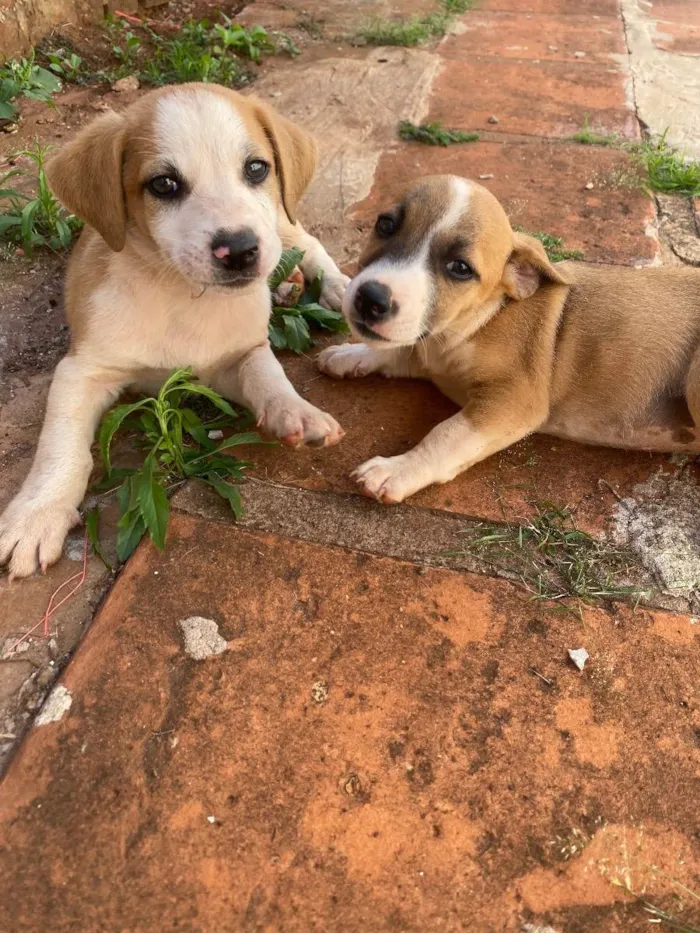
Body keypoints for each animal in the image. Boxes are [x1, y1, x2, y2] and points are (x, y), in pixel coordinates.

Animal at [0, 82, 350, 576]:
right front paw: (36, 515)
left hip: (281, 220)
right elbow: (60, 446)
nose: (239, 250)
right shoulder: (82, 369)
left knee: (306, 241)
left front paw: (296, 411)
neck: (181, 293)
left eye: (256, 168)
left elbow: (269, 376)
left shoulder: (239, 354)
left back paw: (335, 287)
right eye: (163, 184)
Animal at [320, 178, 700, 506]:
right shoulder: (428, 348)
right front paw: (349, 354)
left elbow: (446, 434)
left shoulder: (514, 400)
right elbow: (398, 349)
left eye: (460, 268)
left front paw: (397, 469)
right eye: (385, 225)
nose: (370, 299)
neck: (482, 318)